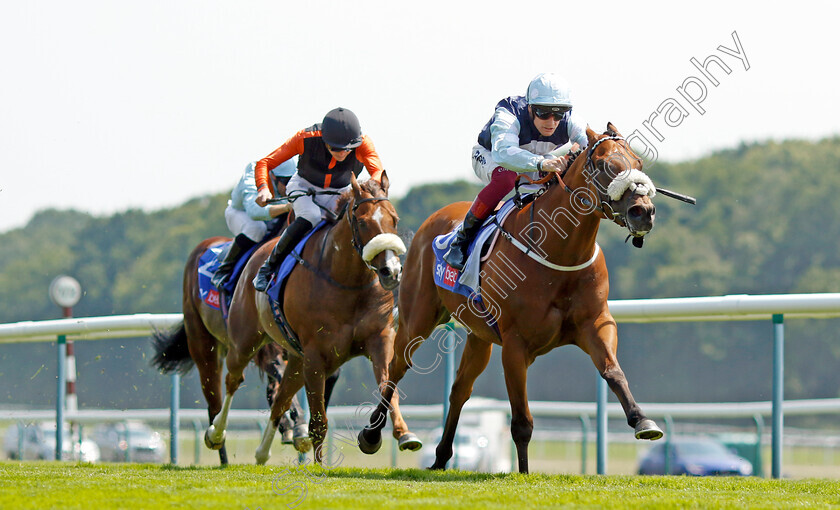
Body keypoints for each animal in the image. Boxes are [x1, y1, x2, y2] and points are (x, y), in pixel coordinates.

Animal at [205, 172, 426, 466]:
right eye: (363, 221)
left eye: (395, 219)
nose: (391, 271)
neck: (347, 282)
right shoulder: (316, 356)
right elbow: (318, 421)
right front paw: (320, 468)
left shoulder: (379, 340)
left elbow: (388, 386)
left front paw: (400, 434)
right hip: (246, 341)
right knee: (233, 381)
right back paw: (216, 433)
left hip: (295, 357)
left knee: (281, 398)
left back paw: (262, 452)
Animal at [364, 124, 668, 474]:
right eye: (606, 165)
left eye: (639, 163)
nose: (643, 212)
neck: (558, 253)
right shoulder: (515, 343)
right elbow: (522, 421)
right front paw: (523, 474)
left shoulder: (596, 323)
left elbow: (613, 372)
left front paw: (642, 421)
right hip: (418, 317)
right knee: (395, 370)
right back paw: (371, 435)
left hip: (479, 336)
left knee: (459, 390)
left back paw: (440, 457)